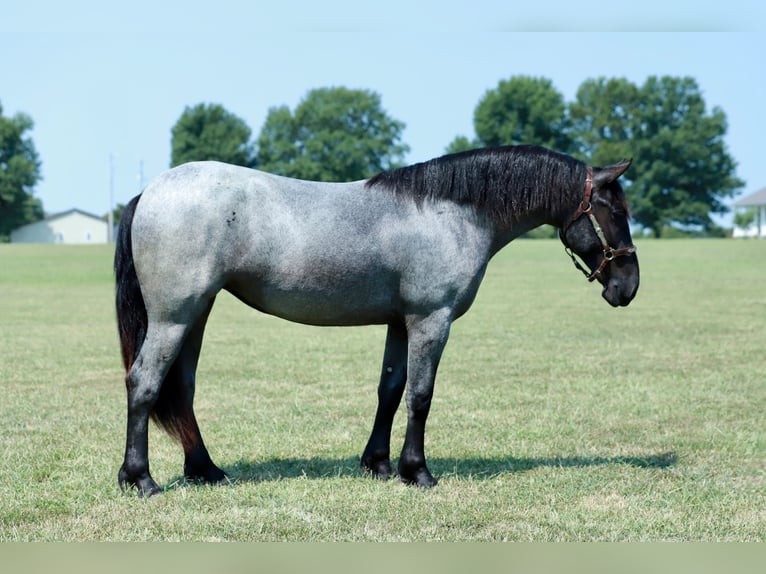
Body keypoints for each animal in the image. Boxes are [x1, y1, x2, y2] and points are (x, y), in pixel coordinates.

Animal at [114, 144, 639, 496]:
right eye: (613, 209)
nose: (628, 286)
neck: (449, 212)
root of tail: (149, 191)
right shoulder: (431, 320)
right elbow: (420, 396)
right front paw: (418, 471)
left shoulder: (401, 323)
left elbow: (390, 388)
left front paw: (379, 465)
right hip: (174, 316)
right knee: (144, 383)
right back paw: (140, 479)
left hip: (195, 314)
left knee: (181, 388)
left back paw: (206, 471)